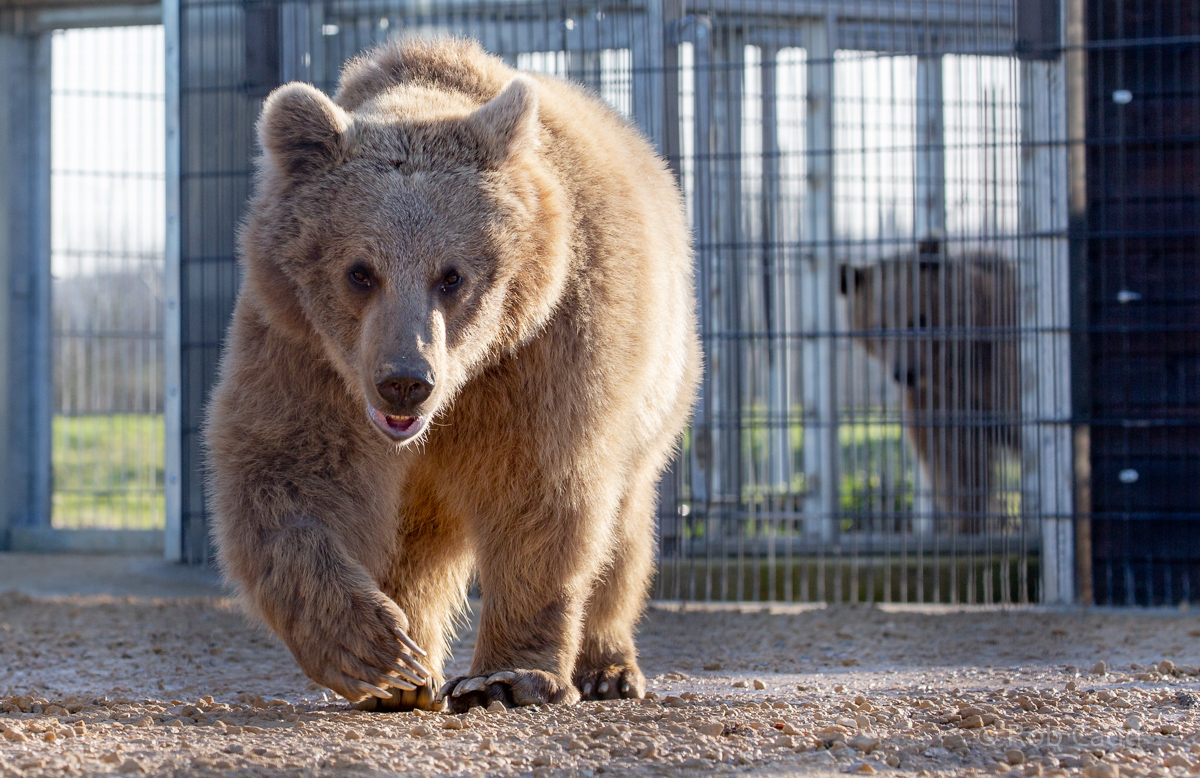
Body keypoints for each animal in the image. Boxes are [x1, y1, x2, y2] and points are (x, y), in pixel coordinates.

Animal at [204, 37, 701, 712]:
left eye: (453, 275)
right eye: (360, 271)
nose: (405, 380)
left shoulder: (543, 350)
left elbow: (540, 489)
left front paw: (507, 676)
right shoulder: (303, 350)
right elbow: (289, 473)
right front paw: (374, 649)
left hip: (657, 391)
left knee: (620, 529)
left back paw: (607, 667)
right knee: (419, 544)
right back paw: (412, 670)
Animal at [840, 244, 1020, 533]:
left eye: (919, 319)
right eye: (880, 326)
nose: (904, 372)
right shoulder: (939, 403)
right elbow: (956, 467)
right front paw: (968, 524)